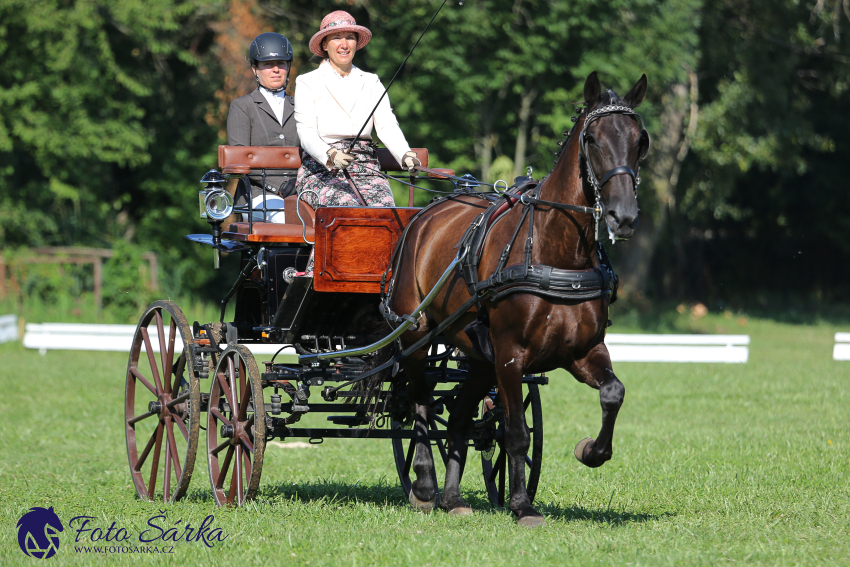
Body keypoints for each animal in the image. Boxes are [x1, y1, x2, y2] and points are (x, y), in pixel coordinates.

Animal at [390, 72, 648, 528]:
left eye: (640, 141)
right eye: (592, 139)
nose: (624, 216)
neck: (556, 251)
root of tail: (423, 216)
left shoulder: (583, 350)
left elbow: (613, 393)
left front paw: (591, 451)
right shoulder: (511, 356)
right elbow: (515, 432)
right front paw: (523, 504)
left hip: (477, 356)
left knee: (459, 418)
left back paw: (453, 498)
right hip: (417, 335)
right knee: (418, 404)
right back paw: (424, 486)